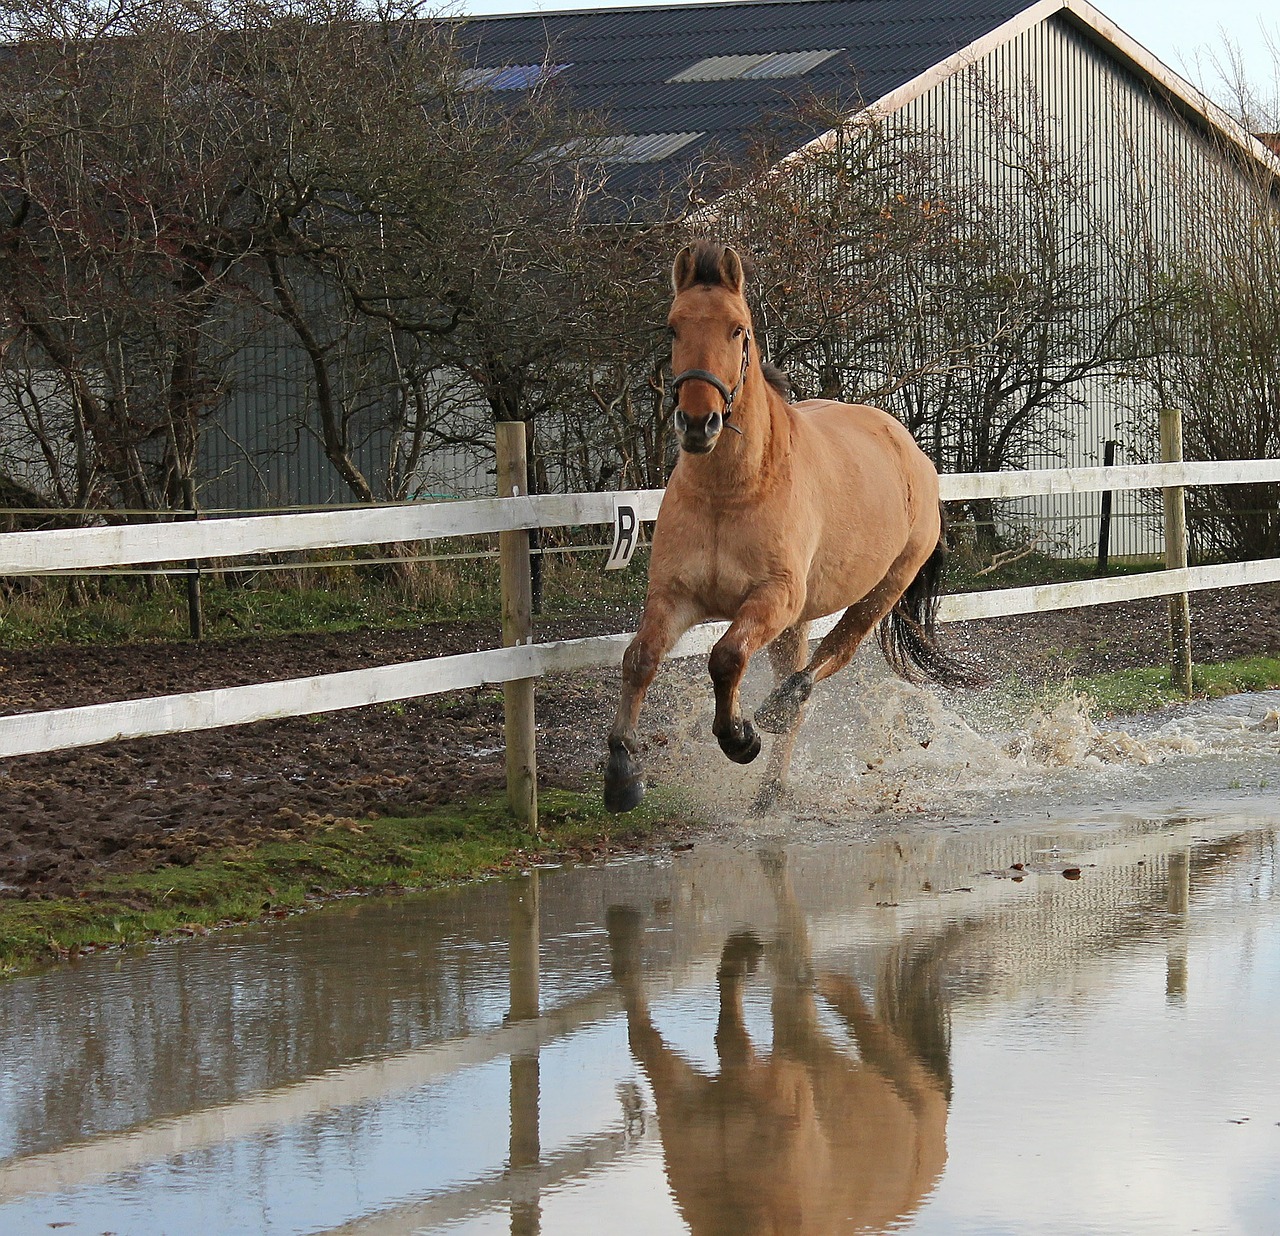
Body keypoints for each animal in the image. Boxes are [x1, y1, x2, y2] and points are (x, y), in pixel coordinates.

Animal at [604, 237, 972, 818]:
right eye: (672, 328)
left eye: (738, 329)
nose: (697, 423)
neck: (731, 492)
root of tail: (911, 451)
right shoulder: (676, 595)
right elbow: (640, 659)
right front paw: (621, 774)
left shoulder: (771, 597)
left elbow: (726, 658)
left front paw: (739, 736)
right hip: (796, 621)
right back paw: (769, 792)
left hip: (880, 590)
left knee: (829, 658)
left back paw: (775, 713)